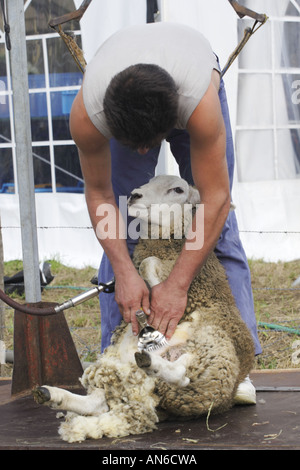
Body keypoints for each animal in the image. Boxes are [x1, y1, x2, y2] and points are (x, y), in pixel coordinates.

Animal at [32, 174, 253, 442]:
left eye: (178, 189)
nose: (135, 195)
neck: (168, 243)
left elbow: (148, 264)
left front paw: (158, 297)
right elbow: (145, 265)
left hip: (213, 353)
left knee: (182, 374)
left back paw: (152, 361)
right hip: (119, 365)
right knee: (97, 403)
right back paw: (51, 394)